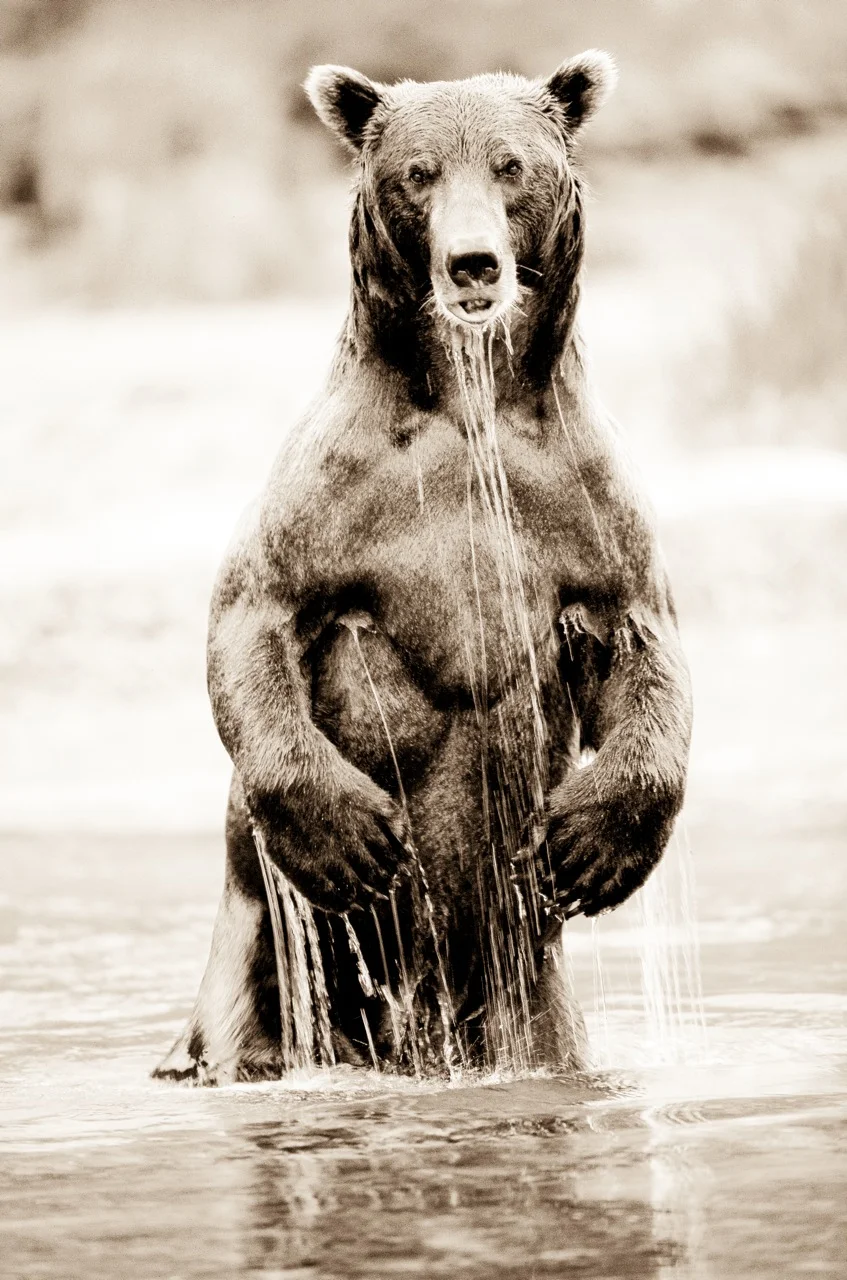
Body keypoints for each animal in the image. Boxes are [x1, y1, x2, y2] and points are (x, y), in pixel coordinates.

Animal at [154, 51, 692, 1085]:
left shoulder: (581, 499)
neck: (467, 401)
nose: (471, 262)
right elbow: (253, 617)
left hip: (531, 999)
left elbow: (642, 645)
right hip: (260, 975)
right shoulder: (332, 491)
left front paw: (594, 845)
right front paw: (350, 837)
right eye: (418, 173)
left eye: (511, 165)